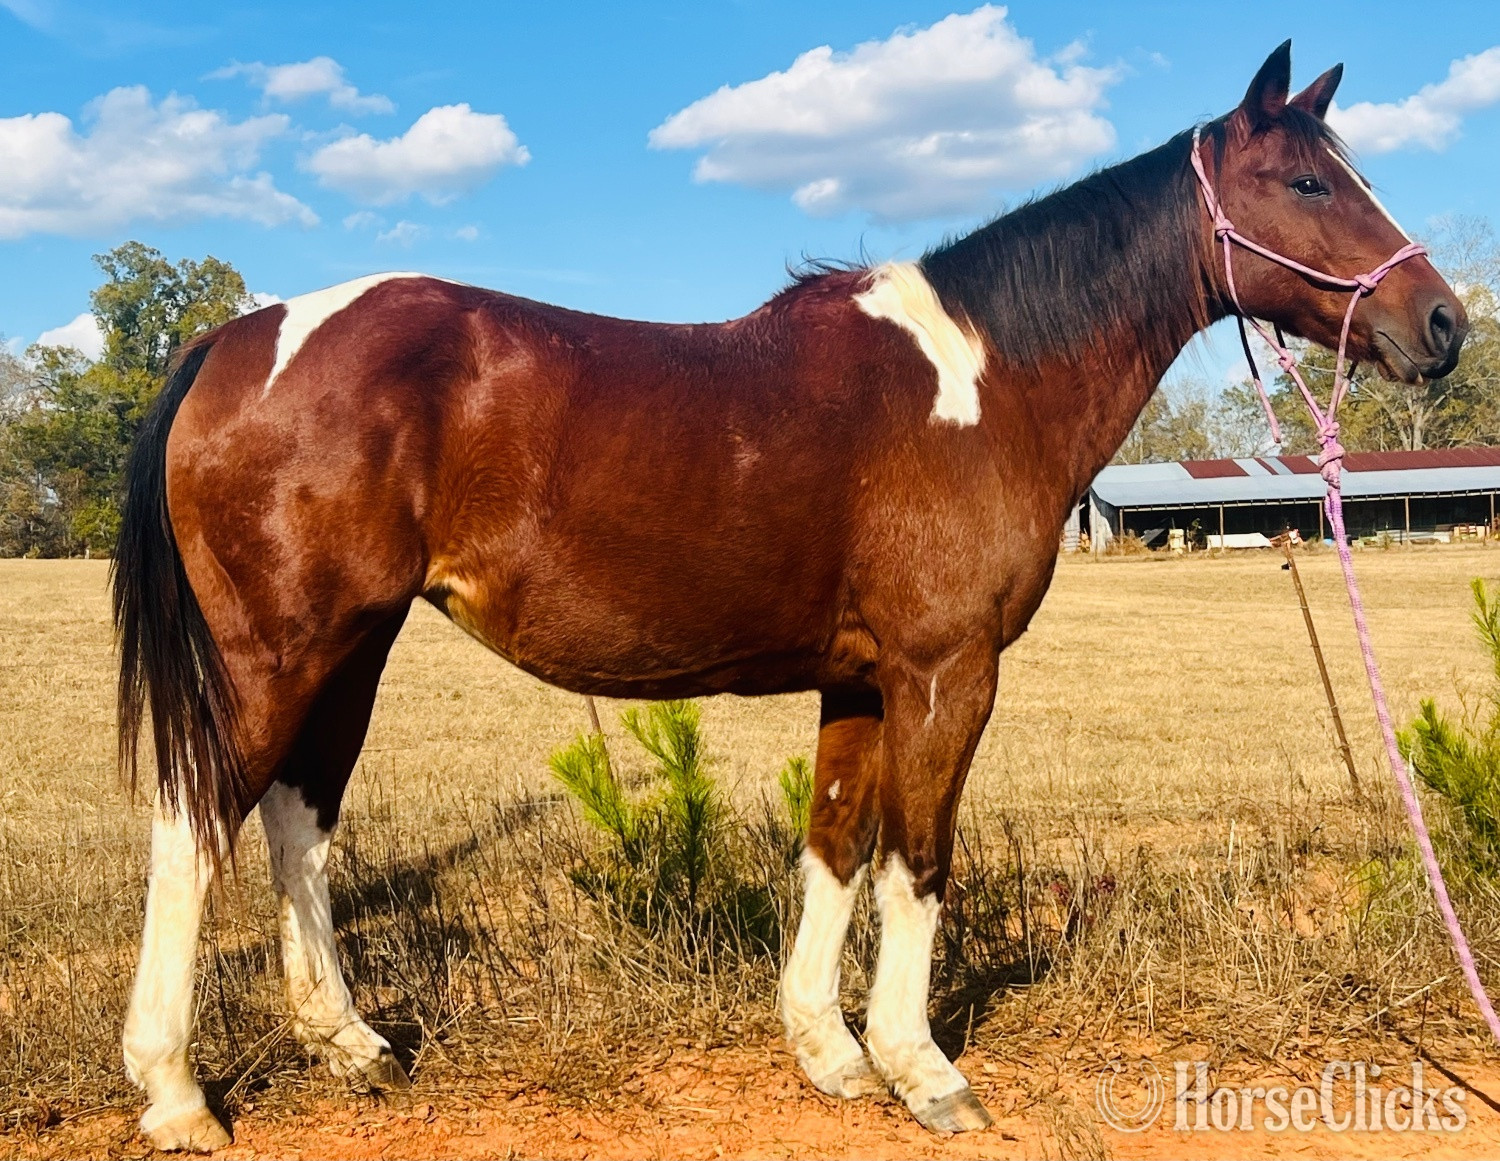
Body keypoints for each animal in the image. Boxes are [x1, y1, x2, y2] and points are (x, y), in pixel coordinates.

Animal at [112, 41, 1467, 1150]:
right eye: (1309, 185)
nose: (1444, 323)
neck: (984, 380)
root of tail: (237, 338)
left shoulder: (859, 681)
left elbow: (833, 844)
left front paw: (828, 1051)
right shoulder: (945, 673)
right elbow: (918, 859)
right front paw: (924, 1072)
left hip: (352, 646)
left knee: (296, 823)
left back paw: (350, 1043)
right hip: (277, 653)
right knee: (192, 826)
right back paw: (176, 1093)